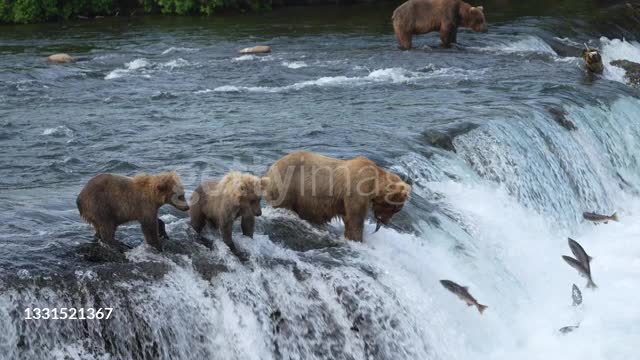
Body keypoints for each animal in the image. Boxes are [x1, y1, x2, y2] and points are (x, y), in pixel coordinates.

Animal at [264, 150, 410, 240]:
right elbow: (354, 220)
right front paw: (356, 239)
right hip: (287, 187)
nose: (385, 222)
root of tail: (268, 172)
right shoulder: (355, 191)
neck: (373, 185)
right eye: (396, 209)